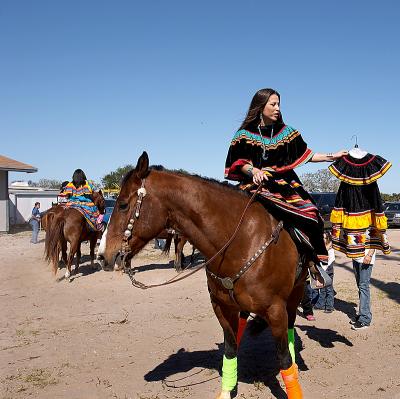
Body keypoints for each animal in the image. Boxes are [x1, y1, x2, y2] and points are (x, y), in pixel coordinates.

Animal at [98, 152, 308, 396]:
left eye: (123, 204)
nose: (102, 255)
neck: (241, 241)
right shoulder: (221, 306)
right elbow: (230, 350)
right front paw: (227, 390)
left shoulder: (275, 310)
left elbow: (284, 360)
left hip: (295, 295)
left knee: (291, 328)